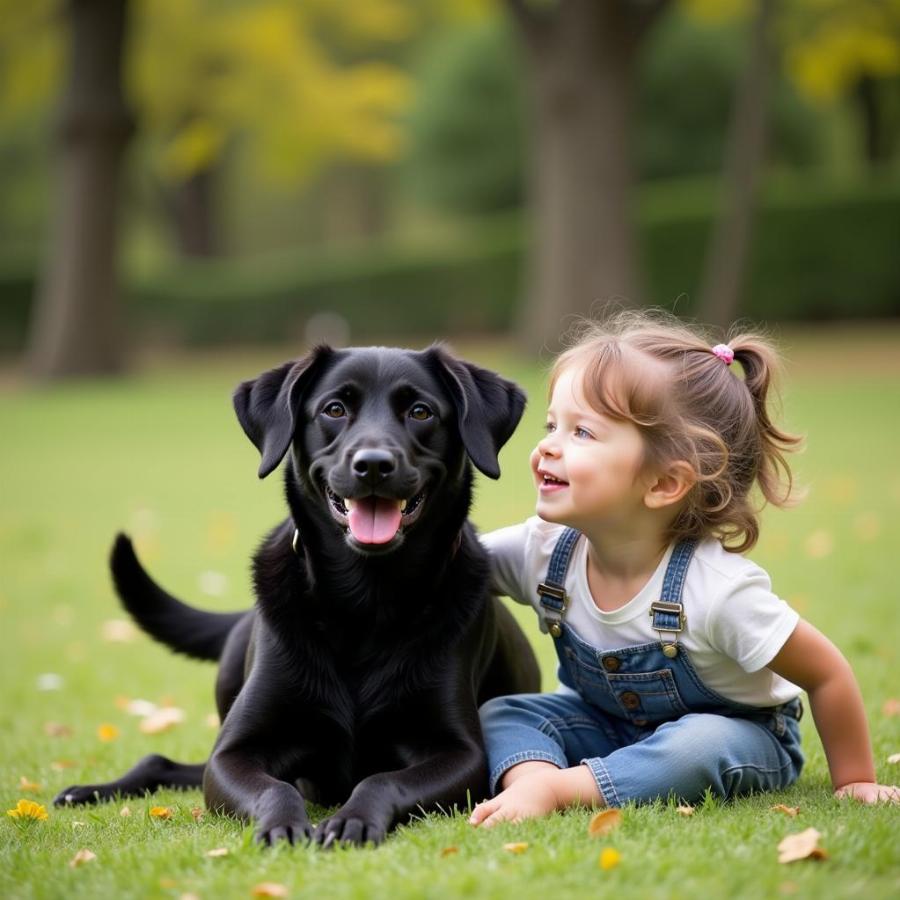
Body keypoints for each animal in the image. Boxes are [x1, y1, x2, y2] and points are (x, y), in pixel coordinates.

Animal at [56, 342, 540, 844]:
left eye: (421, 412)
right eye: (334, 409)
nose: (373, 464)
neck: (365, 599)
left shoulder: (461, 754)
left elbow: (382, 779)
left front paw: (351, 819)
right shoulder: (234, 753)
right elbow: (274, 788)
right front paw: (284, 826)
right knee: (162, 760)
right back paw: (86, 790)